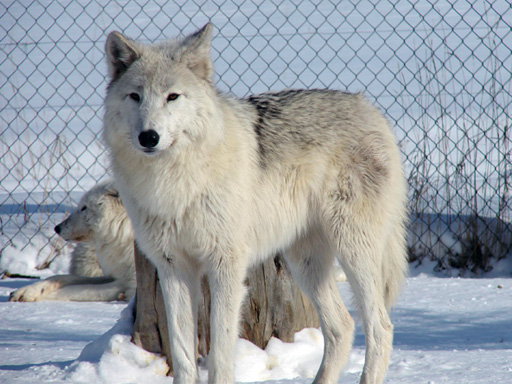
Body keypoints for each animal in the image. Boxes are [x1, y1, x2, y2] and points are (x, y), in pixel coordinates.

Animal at [103, 24, 408, 384]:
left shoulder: (226, 266)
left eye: (172, 97)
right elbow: (182, 354)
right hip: (304, 263)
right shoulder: (173, 267)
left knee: (380, 327)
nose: (149, 137)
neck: (173, 182)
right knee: (342, 326)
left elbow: (221, 352)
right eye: (135, 96)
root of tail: (371, 110)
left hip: (353, 250)